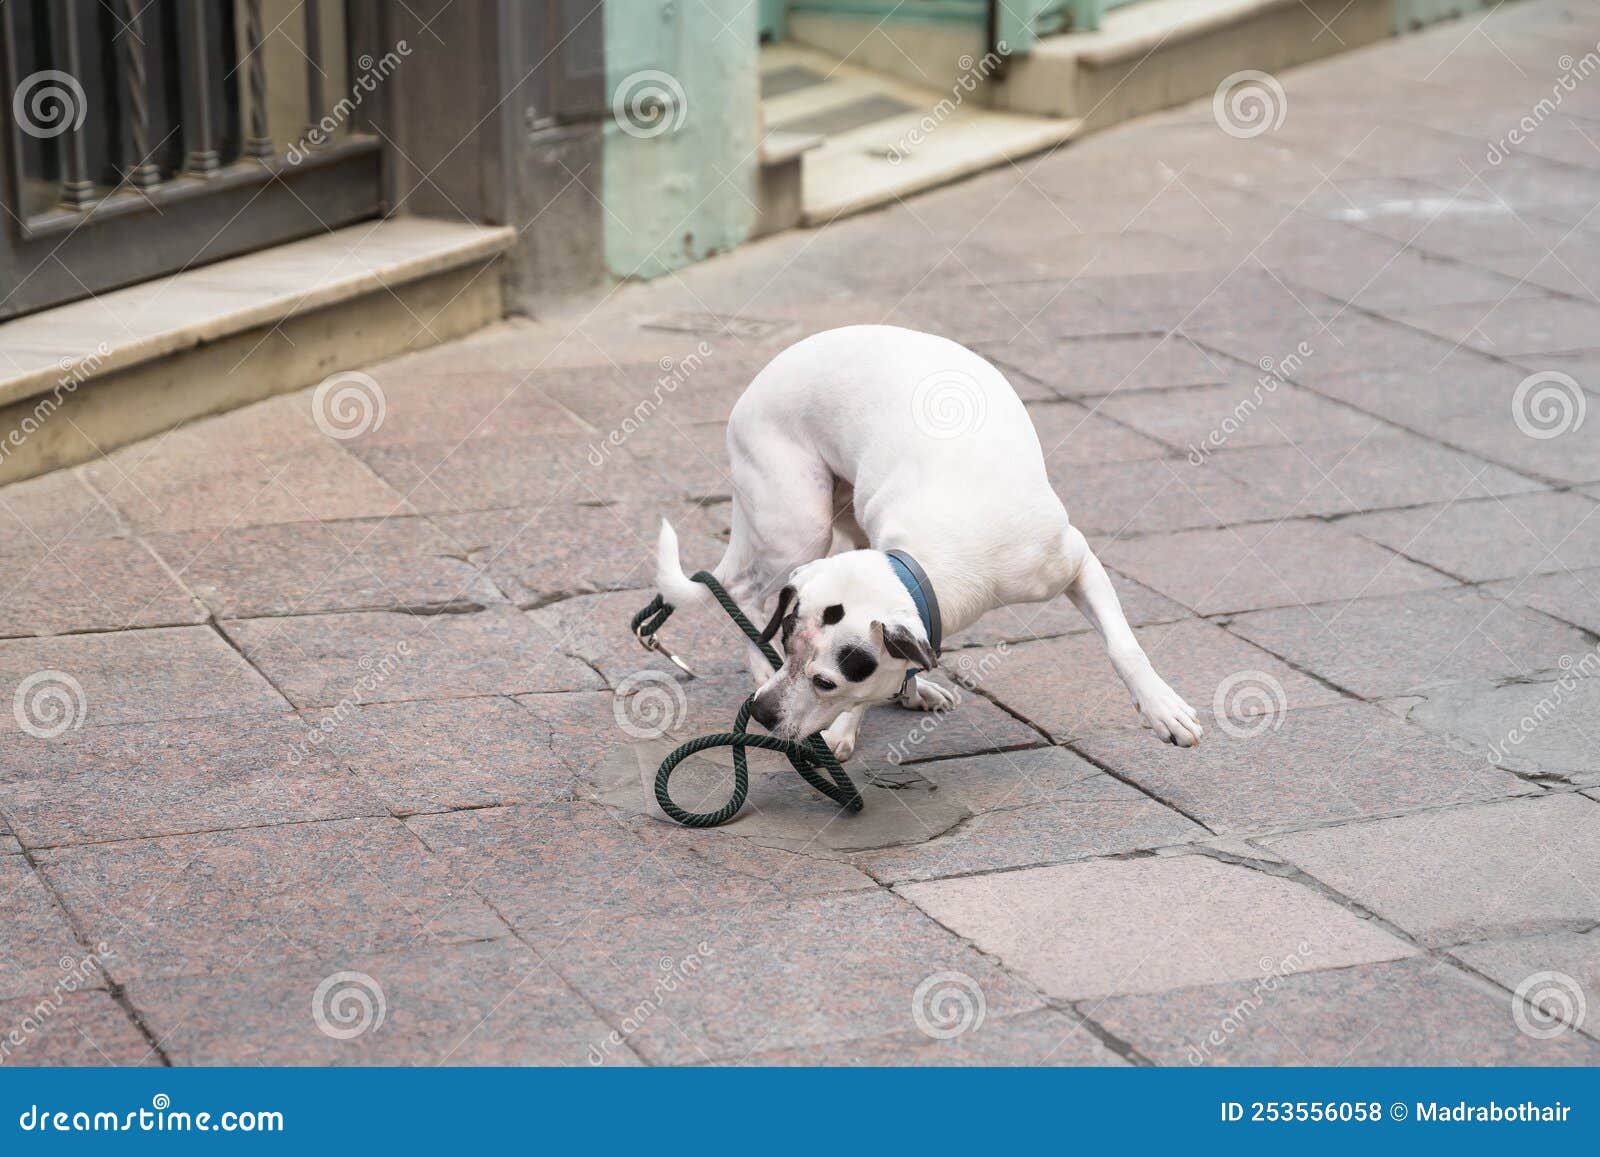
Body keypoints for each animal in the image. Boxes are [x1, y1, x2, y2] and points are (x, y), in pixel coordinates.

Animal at [652, 326, 1203, 761]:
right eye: (788, 651)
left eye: (827, 681)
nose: (762, 713)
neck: (938, 558)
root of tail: (757, 384)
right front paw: (846, 728)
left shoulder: (1075, 561)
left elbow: (1123, 646)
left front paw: (1162, 708)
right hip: (799, 524)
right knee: (744, 593)